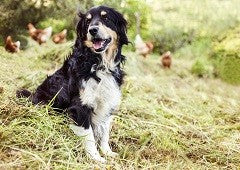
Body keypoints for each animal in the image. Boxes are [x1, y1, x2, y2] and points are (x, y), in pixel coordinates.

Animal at [15, 5, 128, 162]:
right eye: (88, 21)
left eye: (106, 18)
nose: (92, 30)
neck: (99, 64)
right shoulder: (79, 107)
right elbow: (89, 135)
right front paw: (95, 158)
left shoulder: (108, 102)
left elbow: (105, 132)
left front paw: (107, 152)